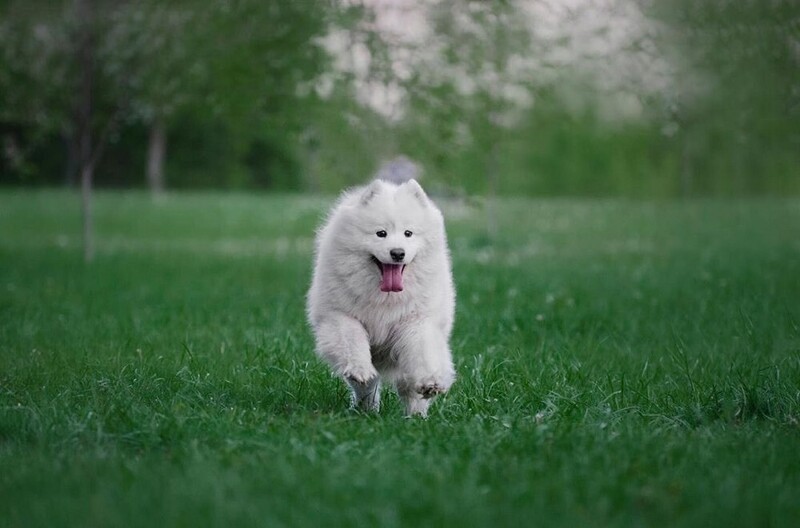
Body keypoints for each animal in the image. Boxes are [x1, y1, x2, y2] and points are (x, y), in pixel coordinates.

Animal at [306, 178, 456, 416]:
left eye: (408, 233)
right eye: (381, 233)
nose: (397, 253)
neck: (385, 298)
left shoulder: (416, 322)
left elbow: (423, 352)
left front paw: (430, 382)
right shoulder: (340, 317)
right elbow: (353, 341)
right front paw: (360, 368)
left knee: (409, 388)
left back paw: (417, 416)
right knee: (368, 387)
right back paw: (366, 409)